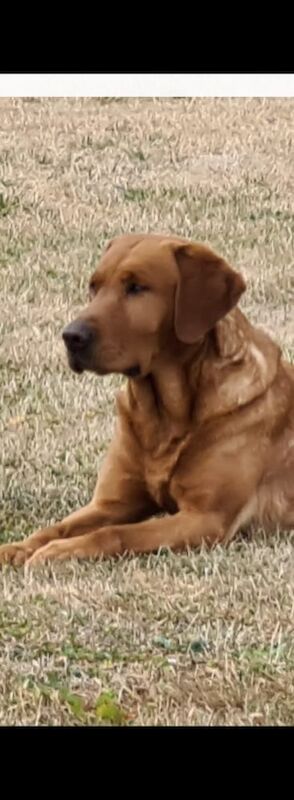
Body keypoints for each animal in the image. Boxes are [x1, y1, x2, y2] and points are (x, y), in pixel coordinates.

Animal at [0, 234, 292, 564]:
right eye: (94, 286)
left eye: (136, 287)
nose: (71, 336)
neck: (164, 416)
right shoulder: (112, 503)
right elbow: (58, 526)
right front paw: (21, 547)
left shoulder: (206, 517)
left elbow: (115, 533)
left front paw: (60, 551)